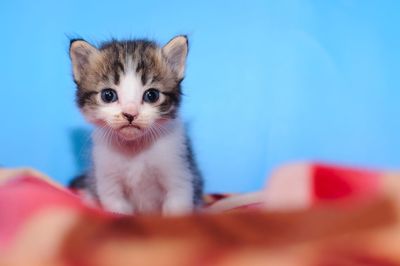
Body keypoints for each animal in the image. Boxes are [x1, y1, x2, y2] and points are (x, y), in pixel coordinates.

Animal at [68, 35, 203, 215]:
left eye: (152, 95)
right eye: (108, 95)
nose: (130, 114)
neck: (134, 148)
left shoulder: (180, 172)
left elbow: (177, 207)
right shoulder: (107, 179)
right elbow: (117, 208)